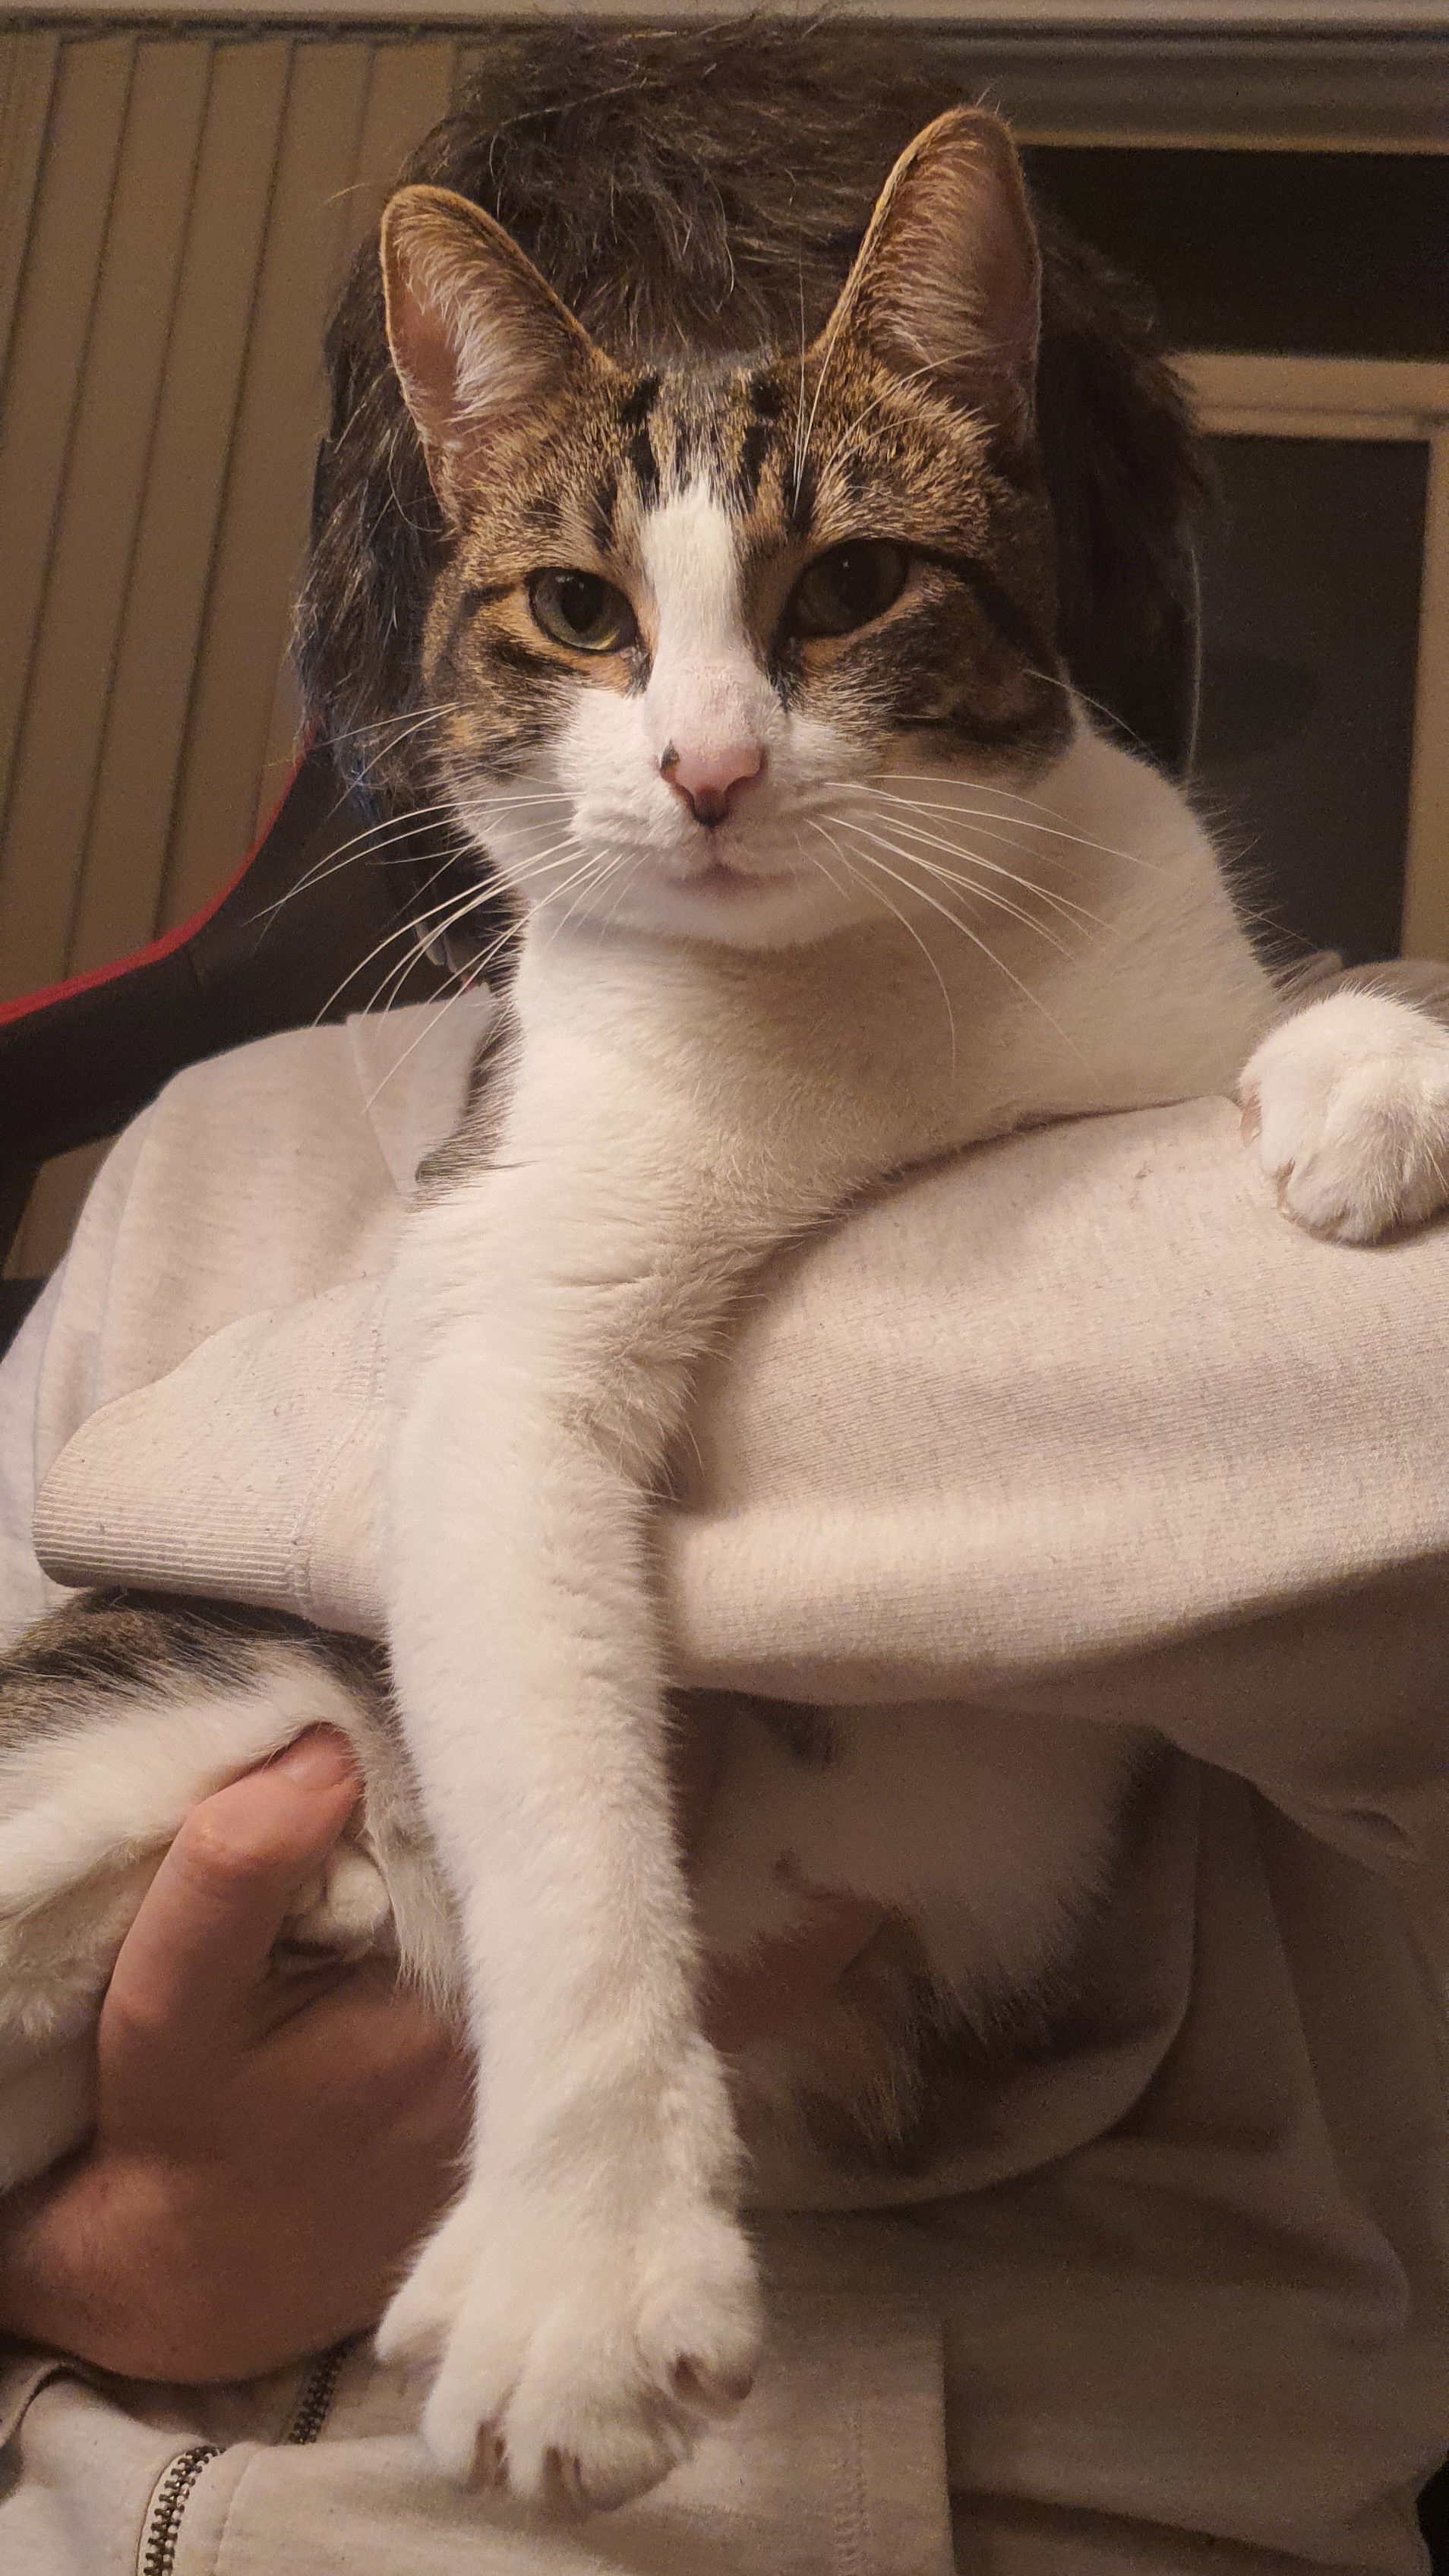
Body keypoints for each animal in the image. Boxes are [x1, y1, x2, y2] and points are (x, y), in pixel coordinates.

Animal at [2, 95, 1444, 2514]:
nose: (707, 770)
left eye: (844, 586)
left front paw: (1371, 1067)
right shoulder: (508, 1306)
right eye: (578, 614)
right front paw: (587, 2264)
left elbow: (1240, 1027)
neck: (857, 1003)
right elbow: (559, 1802)